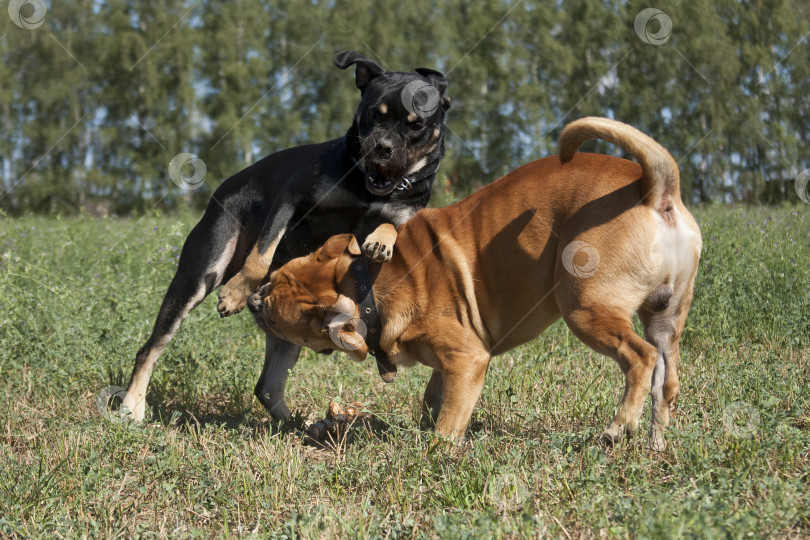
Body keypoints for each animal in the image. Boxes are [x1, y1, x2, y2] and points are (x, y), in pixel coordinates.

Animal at [121, 50, 448, 422]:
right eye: (372, 115)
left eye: (416, 125)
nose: (382, 148)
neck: (368, 189)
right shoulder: (291, 198)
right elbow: (262, 253)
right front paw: (233, 294)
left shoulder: (407, 209)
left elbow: (392, 224)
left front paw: (379, 240)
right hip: (200, 273)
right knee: (151, 348)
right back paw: (131, 407)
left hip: (288, 326)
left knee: (267, 385)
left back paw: (301, 425)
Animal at [249, 118, 696, 452]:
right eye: (273, 279)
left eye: (274, 316)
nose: (254, 299)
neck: (366, 283)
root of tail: (653, 189)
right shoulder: (448, 364)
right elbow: (435, 399)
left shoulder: (467, 359)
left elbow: (449, 422)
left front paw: (436, 450)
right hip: (665, 319)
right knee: (666, 381)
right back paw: (656, 444)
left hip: (586, 309)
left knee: (640, 358)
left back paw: (619, 427)